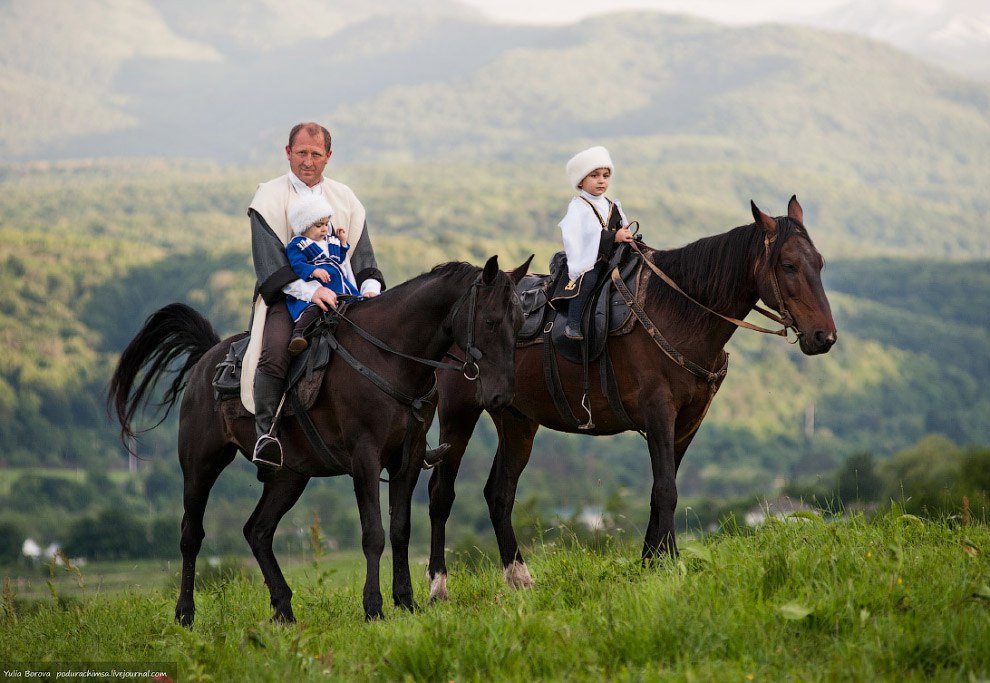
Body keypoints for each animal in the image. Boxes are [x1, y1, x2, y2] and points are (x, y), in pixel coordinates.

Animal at [108, 258, 532, 624]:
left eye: (520, 322)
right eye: (491, 321)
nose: (500, 397)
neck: (388, 357)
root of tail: (206, 360)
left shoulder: (407, 459)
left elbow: (400, 530)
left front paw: (406, 602)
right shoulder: (365, 458)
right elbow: (373, 534)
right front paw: (374, 607)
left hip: (289, 476)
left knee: (257, 531)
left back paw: (283, 608)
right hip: (201, 464)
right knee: (191, 535)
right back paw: (185, 614)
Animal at [426, 196, 836, 600]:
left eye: (819, 263)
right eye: (788, 265)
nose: (824, 337)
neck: (679, 311)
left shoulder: (687, 423)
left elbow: (662, 489)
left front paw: (651, 562)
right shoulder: (659, 413)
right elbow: (666, 489)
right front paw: (667, 564)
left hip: (515, 419)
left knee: (499, 493)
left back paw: (519, 578)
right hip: (458, 413)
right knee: (441, 493)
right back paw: (438, 585)